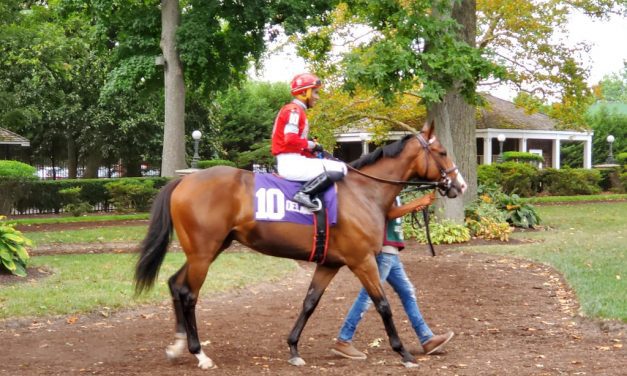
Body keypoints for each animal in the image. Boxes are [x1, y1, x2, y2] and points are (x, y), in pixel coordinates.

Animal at [135, 122, 466, 368]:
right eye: (442, 151)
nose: (459, 185)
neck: (364, 192)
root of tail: (184, 181)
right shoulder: (362, 261)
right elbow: (383, 304)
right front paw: (404, 353)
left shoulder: (330, 263)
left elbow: (309, 302)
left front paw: (293, 348)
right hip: (203, 253)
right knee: (189, 294)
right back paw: (199, 353)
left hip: (207, 250)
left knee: (175, 284)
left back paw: (177, 346)